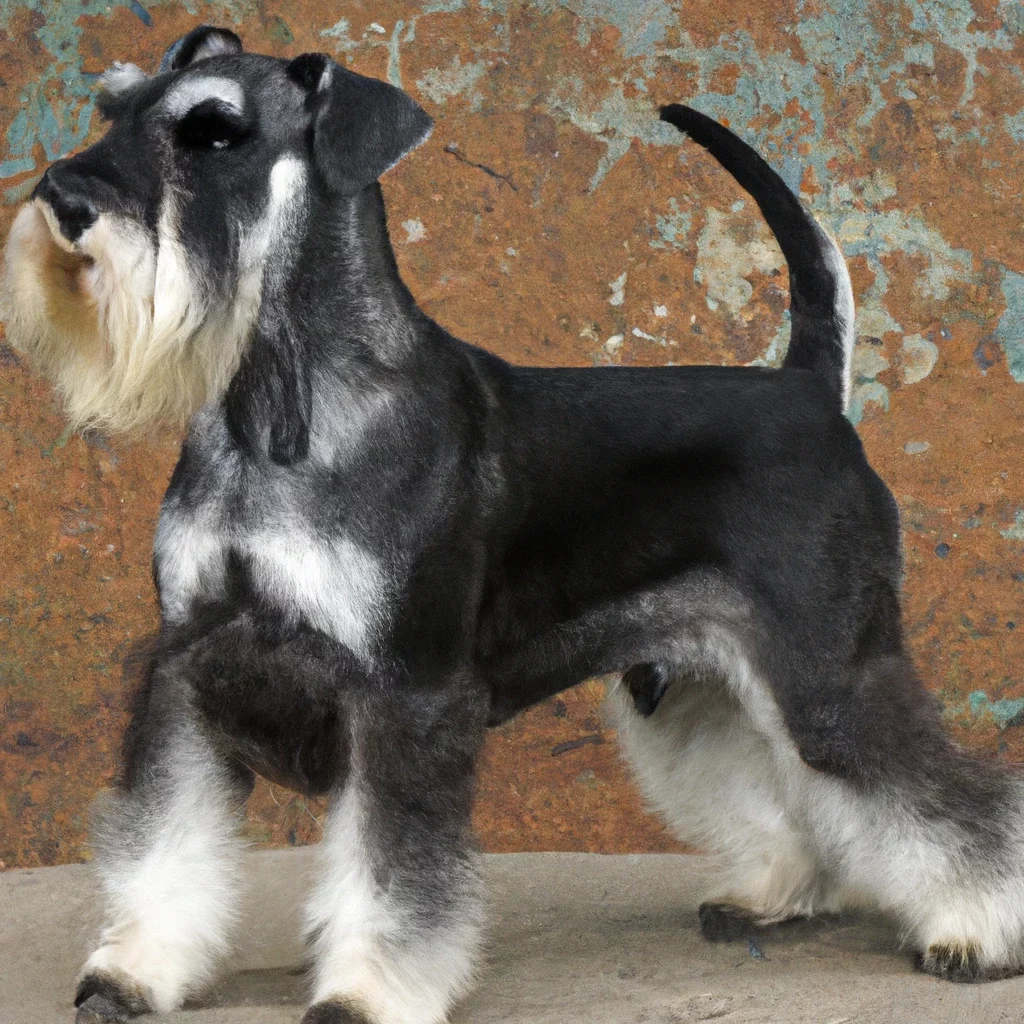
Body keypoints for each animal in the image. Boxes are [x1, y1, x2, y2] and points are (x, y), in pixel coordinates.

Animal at [6, 22, 1024, 1024]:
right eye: (115, 109)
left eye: (214, 131)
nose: (61, 198)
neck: (280, 408)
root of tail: (810, 388)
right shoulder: (189, 668)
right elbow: (164, 840)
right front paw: (132, 973)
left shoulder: (407, 694)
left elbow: (390, 875)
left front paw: (366, 994)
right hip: (703, 681)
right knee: (779, 783)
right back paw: (774, 894)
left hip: (828, 674)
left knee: (934, 798)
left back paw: (974, 934)